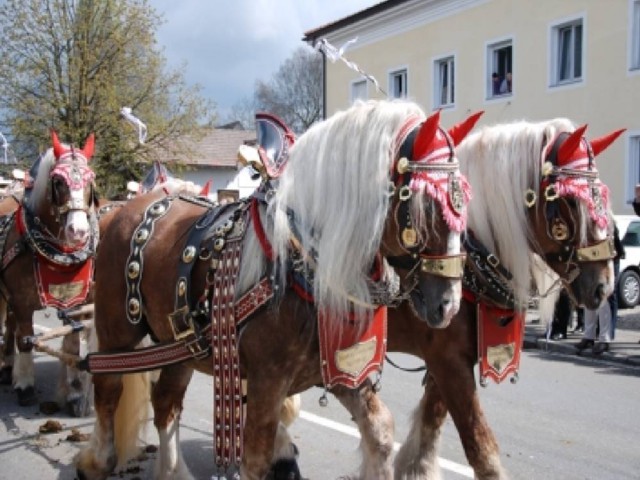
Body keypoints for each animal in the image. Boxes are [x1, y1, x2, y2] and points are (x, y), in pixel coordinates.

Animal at [0, 133, 99, 406]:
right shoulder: (22, 301)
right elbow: (25, 340)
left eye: (90, 180)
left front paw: (75, 391)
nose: (79, 232)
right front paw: (25, 385)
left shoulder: (77, 300)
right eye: (58, 181)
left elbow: (73, 342)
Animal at [76, 98, 480, 480]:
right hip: (117, 331)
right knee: (108, 387)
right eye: (426, 204)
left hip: (179, 345)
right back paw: (97, 460)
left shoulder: (343, 371)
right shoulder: (267, 382)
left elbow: (380, 432)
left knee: (166, 404)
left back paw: (173, 471)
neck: (306, 266)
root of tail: (127, 209)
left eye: (464, 204)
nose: (448, 304)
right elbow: (255, 460)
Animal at [328, 118, 624, 478]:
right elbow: (481, 446)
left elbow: (431, 422)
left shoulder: (452, 358)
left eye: (602, 198)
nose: (604, 286)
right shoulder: (448, 359)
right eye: (570, 201)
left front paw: (415, 467)